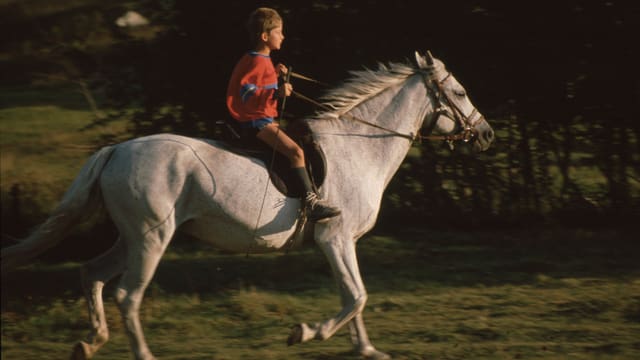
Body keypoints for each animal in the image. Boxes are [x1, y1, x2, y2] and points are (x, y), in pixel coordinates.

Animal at [1, 51, 496, 360]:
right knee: (127, 294)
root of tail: (116, 150)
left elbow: (353, 297)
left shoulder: (345, 242)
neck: (358, 147)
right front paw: (305, 333)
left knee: (93, 274)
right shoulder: (333, 237)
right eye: (460, 91)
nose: (487, 134)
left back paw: (89, 343)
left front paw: (367, 350)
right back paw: (142, 353)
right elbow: (355, 296)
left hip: (132, 237)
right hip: (151, 239)